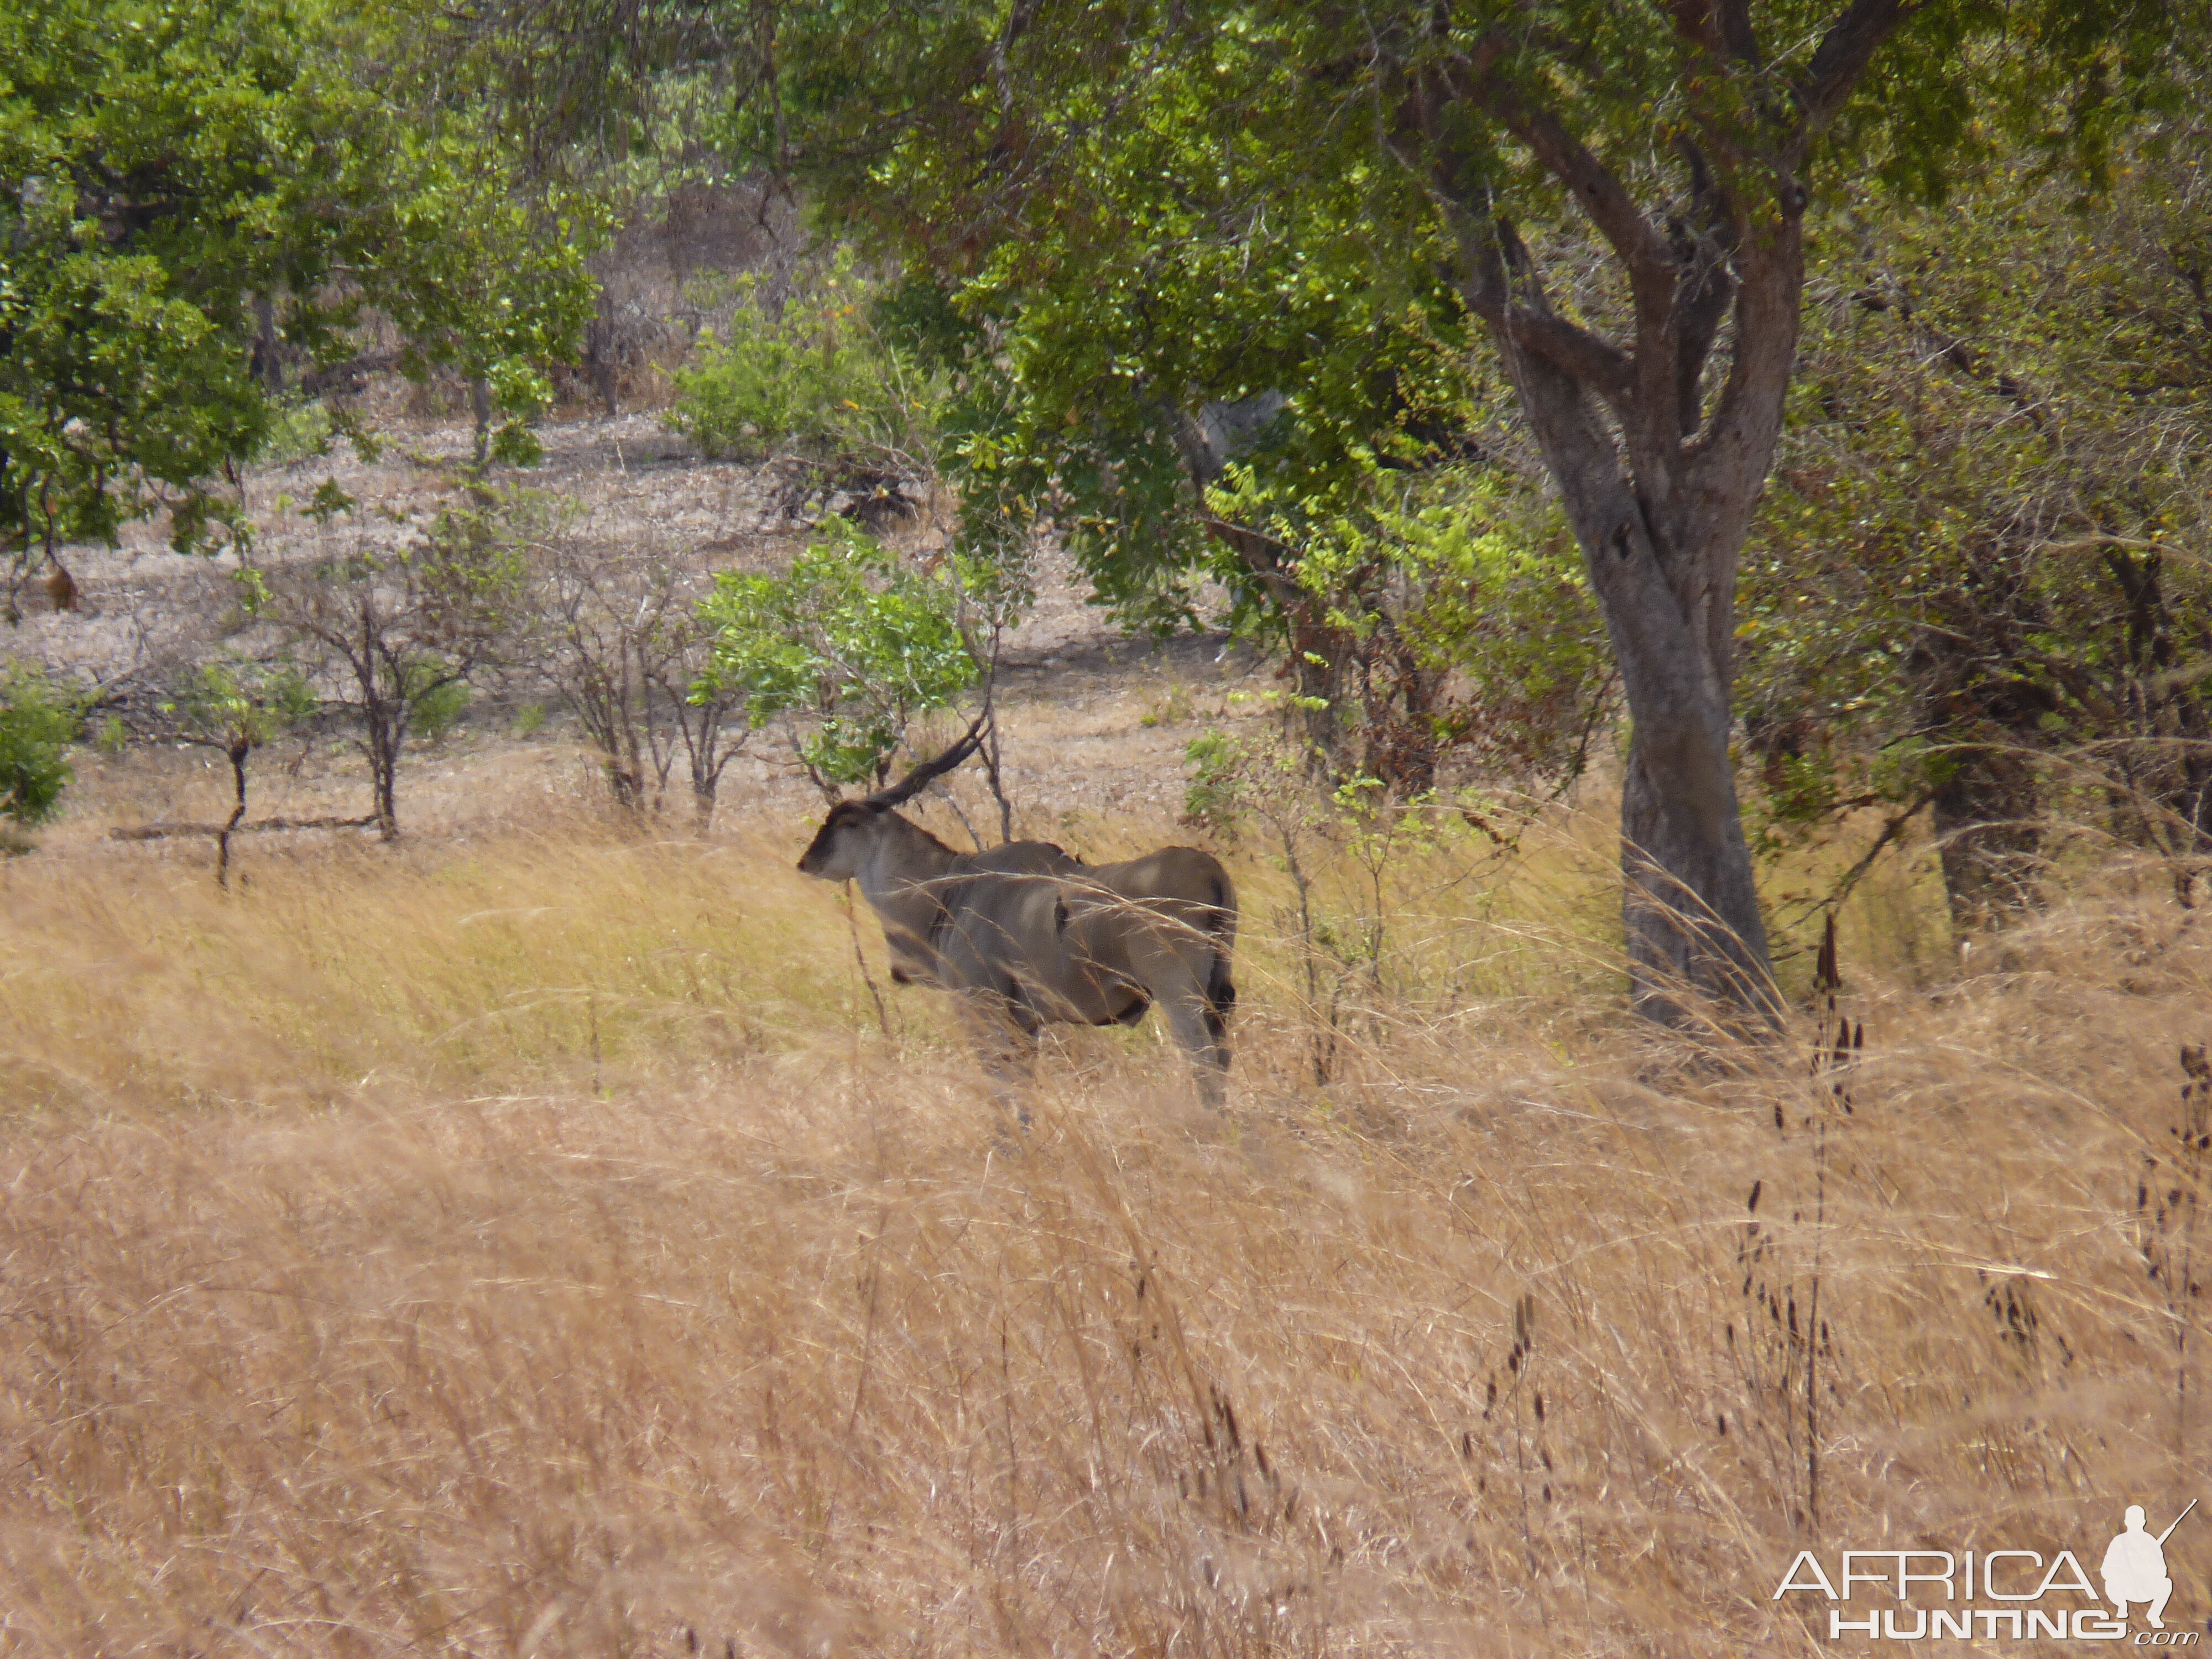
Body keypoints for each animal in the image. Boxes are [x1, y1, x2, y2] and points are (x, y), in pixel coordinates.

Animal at [801, 726, 1248, 1106]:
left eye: (844, 822)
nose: (806, 862)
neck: (950, 889)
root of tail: (1210, 871)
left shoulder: (984, 1009)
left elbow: (1002, 1092)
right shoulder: (1028, 1024)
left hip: (1180, 997)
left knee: (1205, 1064)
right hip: (1216, 994)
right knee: (1222, 1058)